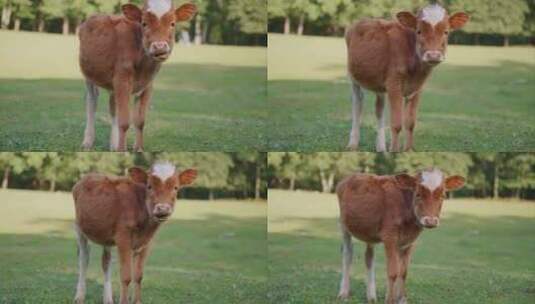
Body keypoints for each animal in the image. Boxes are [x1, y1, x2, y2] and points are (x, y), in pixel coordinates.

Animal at [71, 163, 197, 304]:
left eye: (176, 187)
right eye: (149, 186)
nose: (163, 209)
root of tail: (90, 175)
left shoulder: (147, 243)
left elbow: (138, 276)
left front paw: (137, 301)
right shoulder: (123, 238)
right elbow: (126, 276)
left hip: (107, 237)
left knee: (106, 261)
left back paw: (108, 298)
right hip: (79, 229)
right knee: (83, 260)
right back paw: (79, 296)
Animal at [77, 0, 197, 151]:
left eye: (173, 23)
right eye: (144, 23)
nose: (160, 47)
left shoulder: (148, 85)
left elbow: (140, 121)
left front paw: (138, 149)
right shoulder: (122, 80)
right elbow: (124, 121)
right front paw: (121, 151)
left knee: (112, 107)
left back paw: (113, 143)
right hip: (89, 77)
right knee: (91, 103)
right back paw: (88, 142)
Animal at [338, 169, 466, 304]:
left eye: (443, 195)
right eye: (418, 194)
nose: (430, 221)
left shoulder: (410, 241)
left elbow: (403, 271)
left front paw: (401, 299)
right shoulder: (389, 237)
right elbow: (393, 271)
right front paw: (390, 300)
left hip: (370, 233)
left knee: (369, 257)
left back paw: (371, 296)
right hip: (343, 225)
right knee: (347, 254)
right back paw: (343, 293)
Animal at [348, 4, 468, 151]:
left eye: (446, 32)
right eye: (419, 31)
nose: (433, 55)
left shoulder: (417, 88)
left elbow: (410, 123)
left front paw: (408, 150)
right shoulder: (394, 85)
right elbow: (396, 123)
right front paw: (394, 150)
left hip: (380, 86)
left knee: (379, 109)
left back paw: (381, 147)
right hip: (354, 78)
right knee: (357, 105)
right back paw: (352, 144)